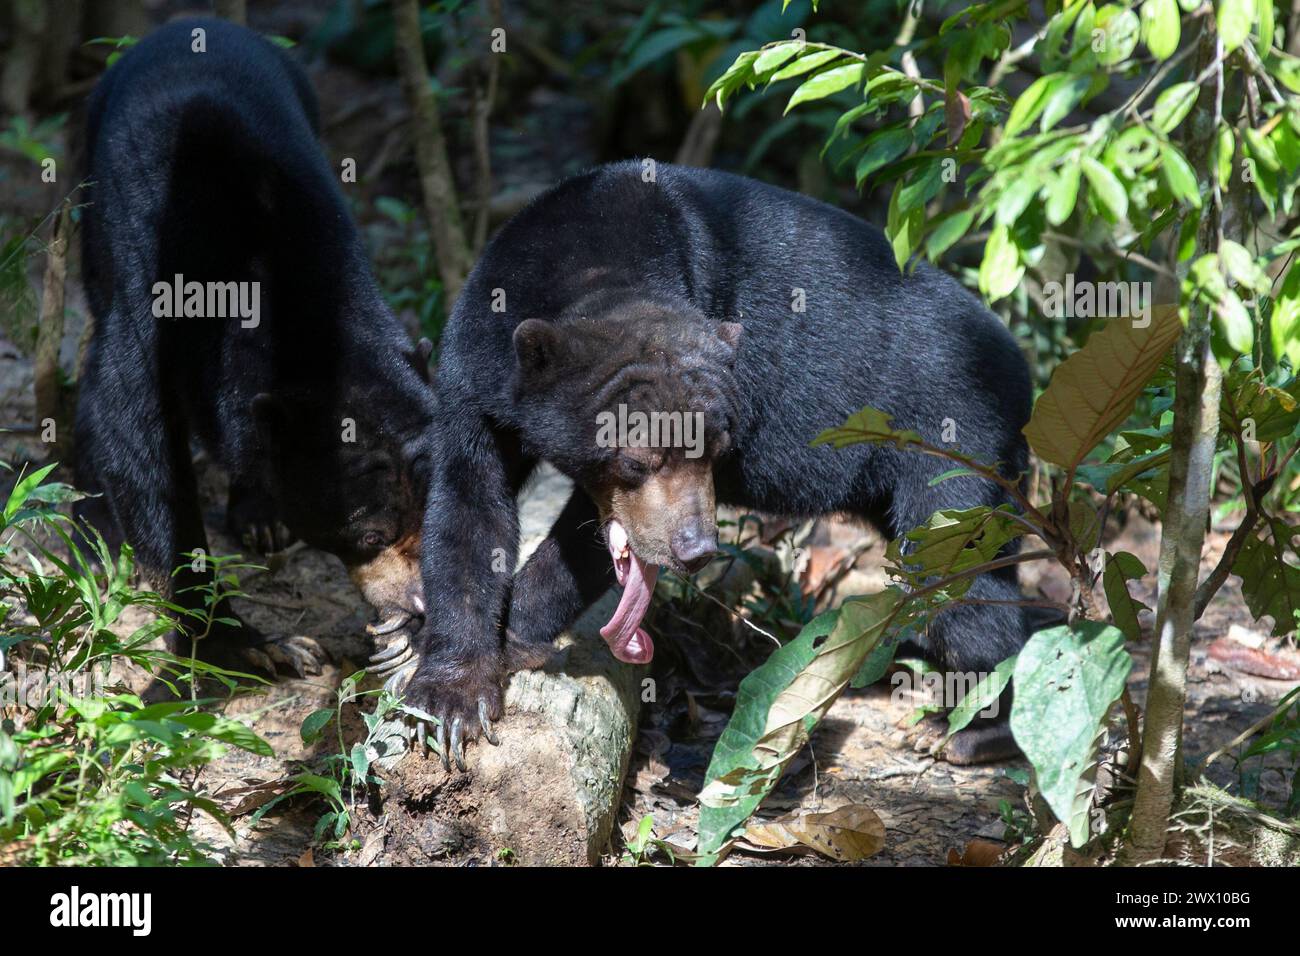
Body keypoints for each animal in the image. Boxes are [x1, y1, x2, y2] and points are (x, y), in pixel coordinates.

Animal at [77, 20, 436, 681]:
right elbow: (131, 433)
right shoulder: (155, 294)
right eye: (367, 537)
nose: (419, 607)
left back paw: (260, 517)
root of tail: (191, 22)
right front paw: (249, 644)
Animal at [400, 157, 1029, 770]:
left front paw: (513, 635)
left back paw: (967, 728)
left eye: (719, 448)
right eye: (637, 459)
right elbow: (469, 503)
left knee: (958, 574)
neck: (589, 268)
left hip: (956, 438)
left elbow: (581, 543)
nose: (696, 549)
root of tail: (1019, 363)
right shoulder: (476, 373)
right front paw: (448, 694)